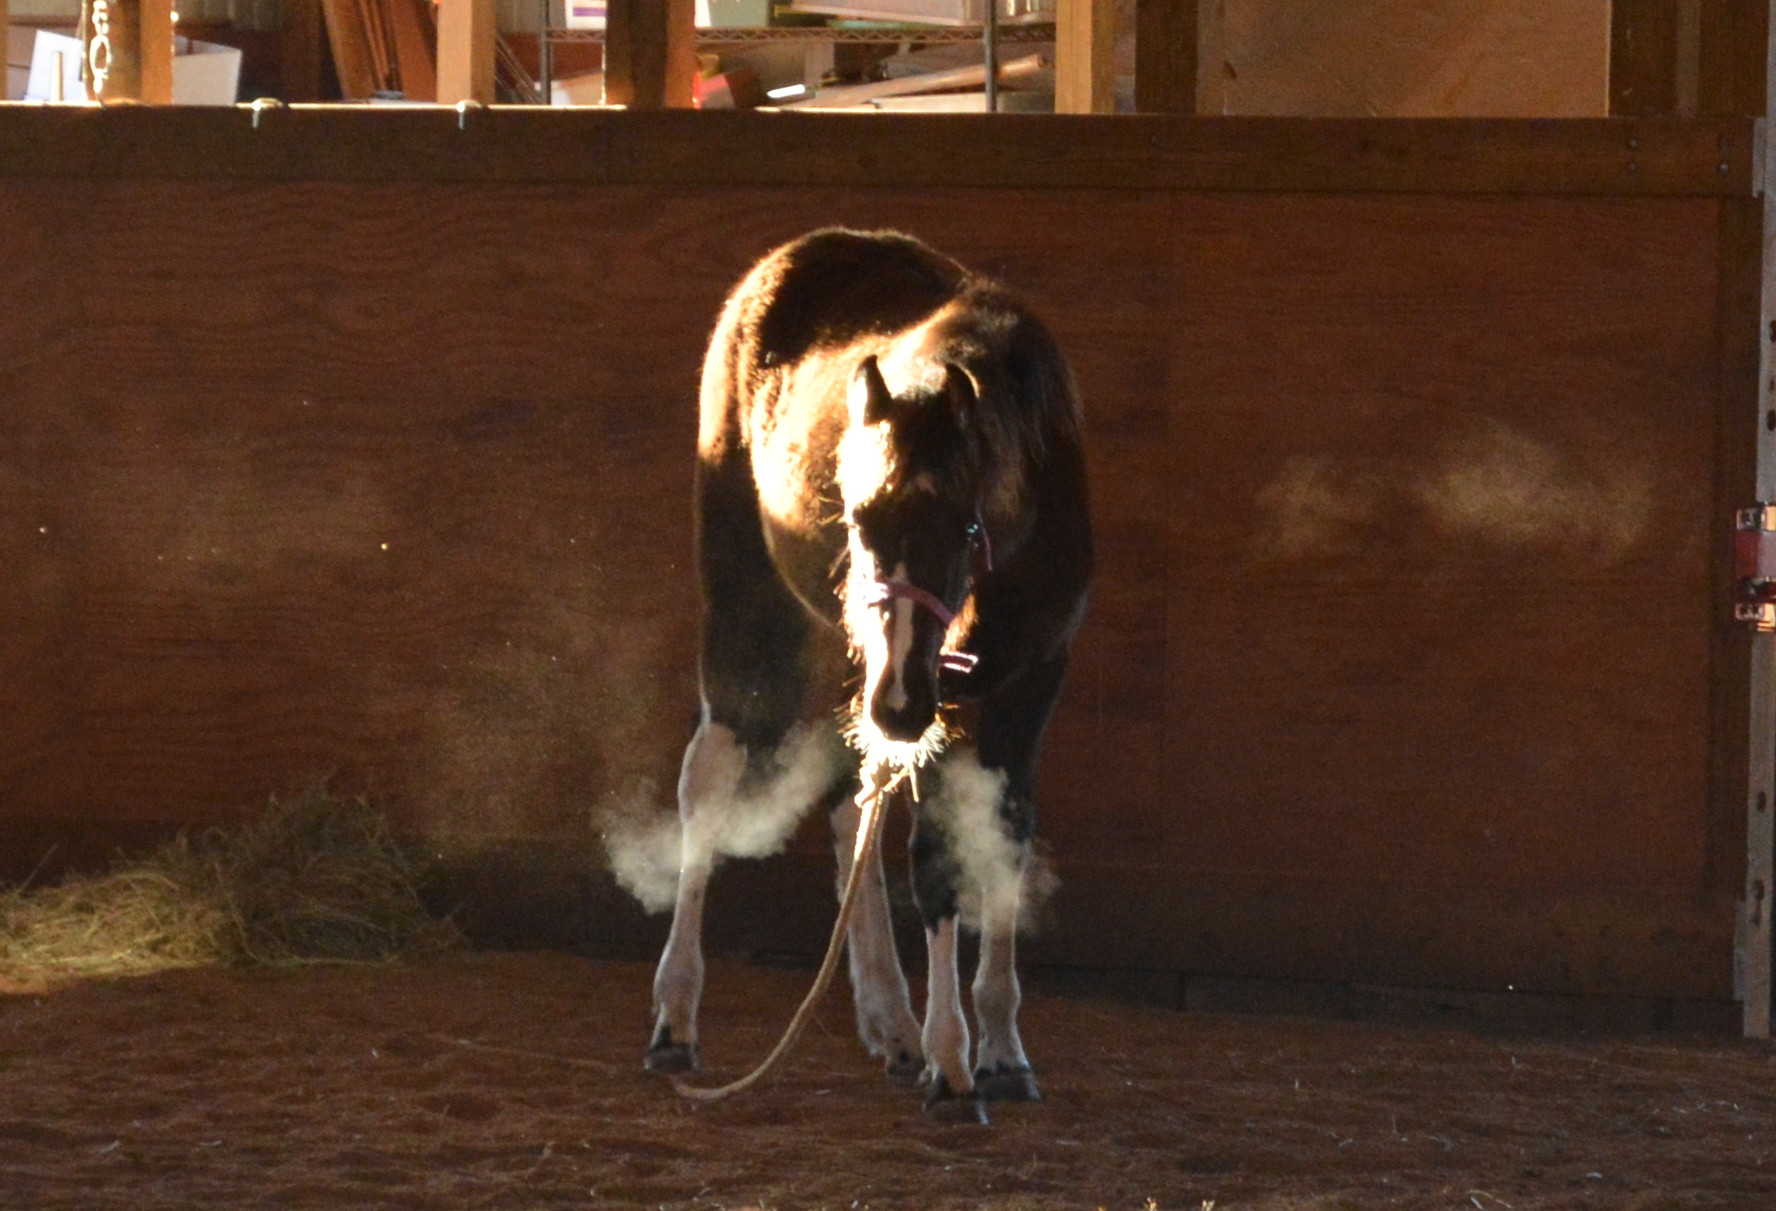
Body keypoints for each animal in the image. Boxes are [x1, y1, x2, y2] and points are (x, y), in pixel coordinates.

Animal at [646, 226, 1086, 1115]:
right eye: (853, 516)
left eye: (967, 526)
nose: (901, 705)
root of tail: (783, 260)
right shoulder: (936, 697)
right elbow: (936, 856)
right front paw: (953, 1065)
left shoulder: (1029, 686)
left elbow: (1001, 837)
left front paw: (1001, 1049)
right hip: (755, 619)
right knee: (706, 780)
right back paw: (676, 1017)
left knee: (854, 810)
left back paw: (891, 1022)